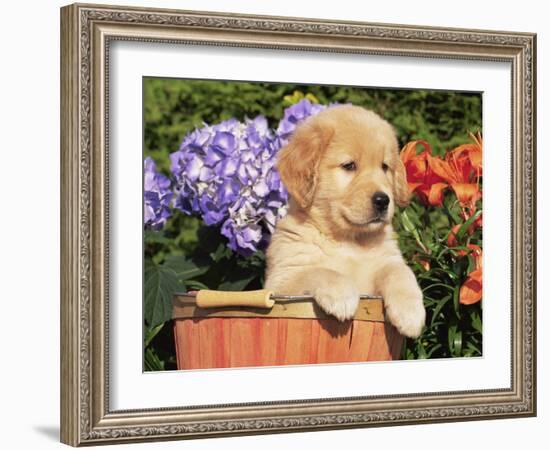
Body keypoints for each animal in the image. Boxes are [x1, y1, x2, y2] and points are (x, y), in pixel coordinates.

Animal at [266, 104, 430, 338]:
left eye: (384, 167)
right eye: (349, 165)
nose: (383, 200)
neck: (350, 240)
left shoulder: (388, 259)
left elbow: (401, 272)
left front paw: (411, 313)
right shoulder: (281, 281)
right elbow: (318, 271)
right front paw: (342, 295)